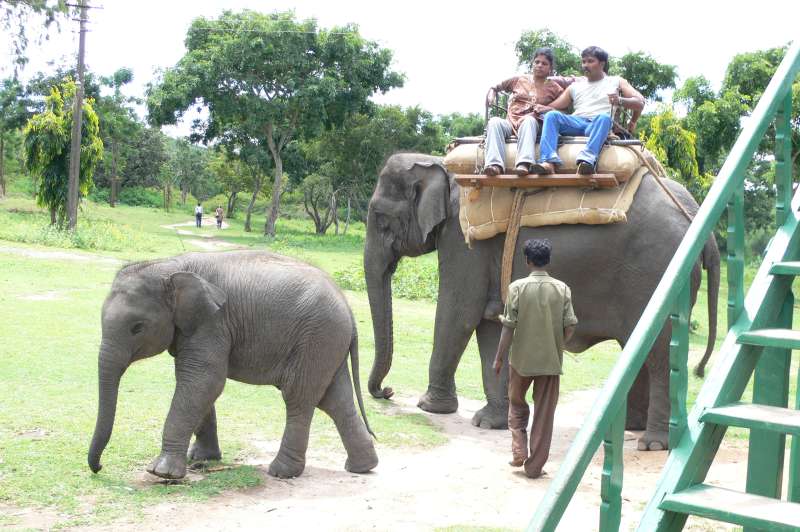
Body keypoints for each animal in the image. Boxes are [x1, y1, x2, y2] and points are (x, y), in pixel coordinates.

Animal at [88, 250, 378, 480]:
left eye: (137, 327)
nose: (99, 467)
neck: (170, 266)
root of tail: (349, 311)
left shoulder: (212, 323)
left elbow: (203, 381)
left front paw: (162, 473)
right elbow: (199, 385)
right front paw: (202, 459)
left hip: (316, 338)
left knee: (299, 398)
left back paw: (281, 473)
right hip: (327, 343)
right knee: (334, 400)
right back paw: (362, 467)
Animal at [364, 152, 719, 451]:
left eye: (380, 218)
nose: (386, 391)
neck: (440, 164)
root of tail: (697, 215)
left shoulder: (464, 241)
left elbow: (460, 313)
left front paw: (430, 407)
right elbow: (491, 325)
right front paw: (488, 422)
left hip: (658, 269)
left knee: (658, 350)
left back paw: (652, 443)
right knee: (637, 346)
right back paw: (632, 427)